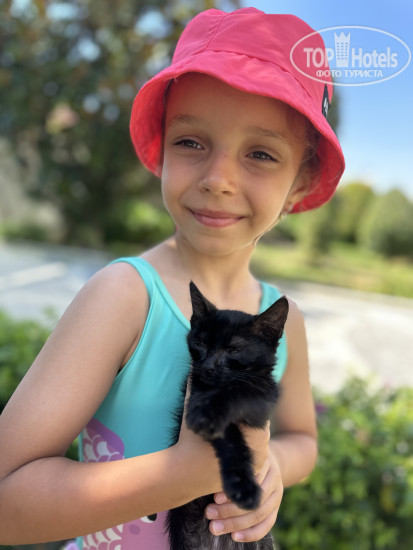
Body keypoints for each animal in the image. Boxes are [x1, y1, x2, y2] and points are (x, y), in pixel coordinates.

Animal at [166, 281, 289, 550]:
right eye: (201, 344)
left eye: (234, 349)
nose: (208, 367)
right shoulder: (194, 391)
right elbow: (230, 438)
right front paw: (243, 485)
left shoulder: (265, 398)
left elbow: (241, 390)